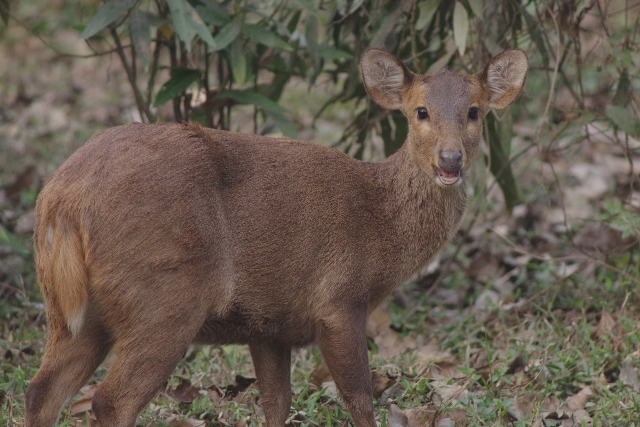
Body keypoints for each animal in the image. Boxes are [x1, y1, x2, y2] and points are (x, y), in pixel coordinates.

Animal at [23, 48, 524, 426]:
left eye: (474, 111)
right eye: (420, 111)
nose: (450, 159)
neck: (380, 221)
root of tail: (63, 199)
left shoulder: (269, 324)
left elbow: (277, 405)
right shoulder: (339, 299)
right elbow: (360, 398)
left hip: (72, 308)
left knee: (40, 390)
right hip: (164, 295)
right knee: (112, 400)